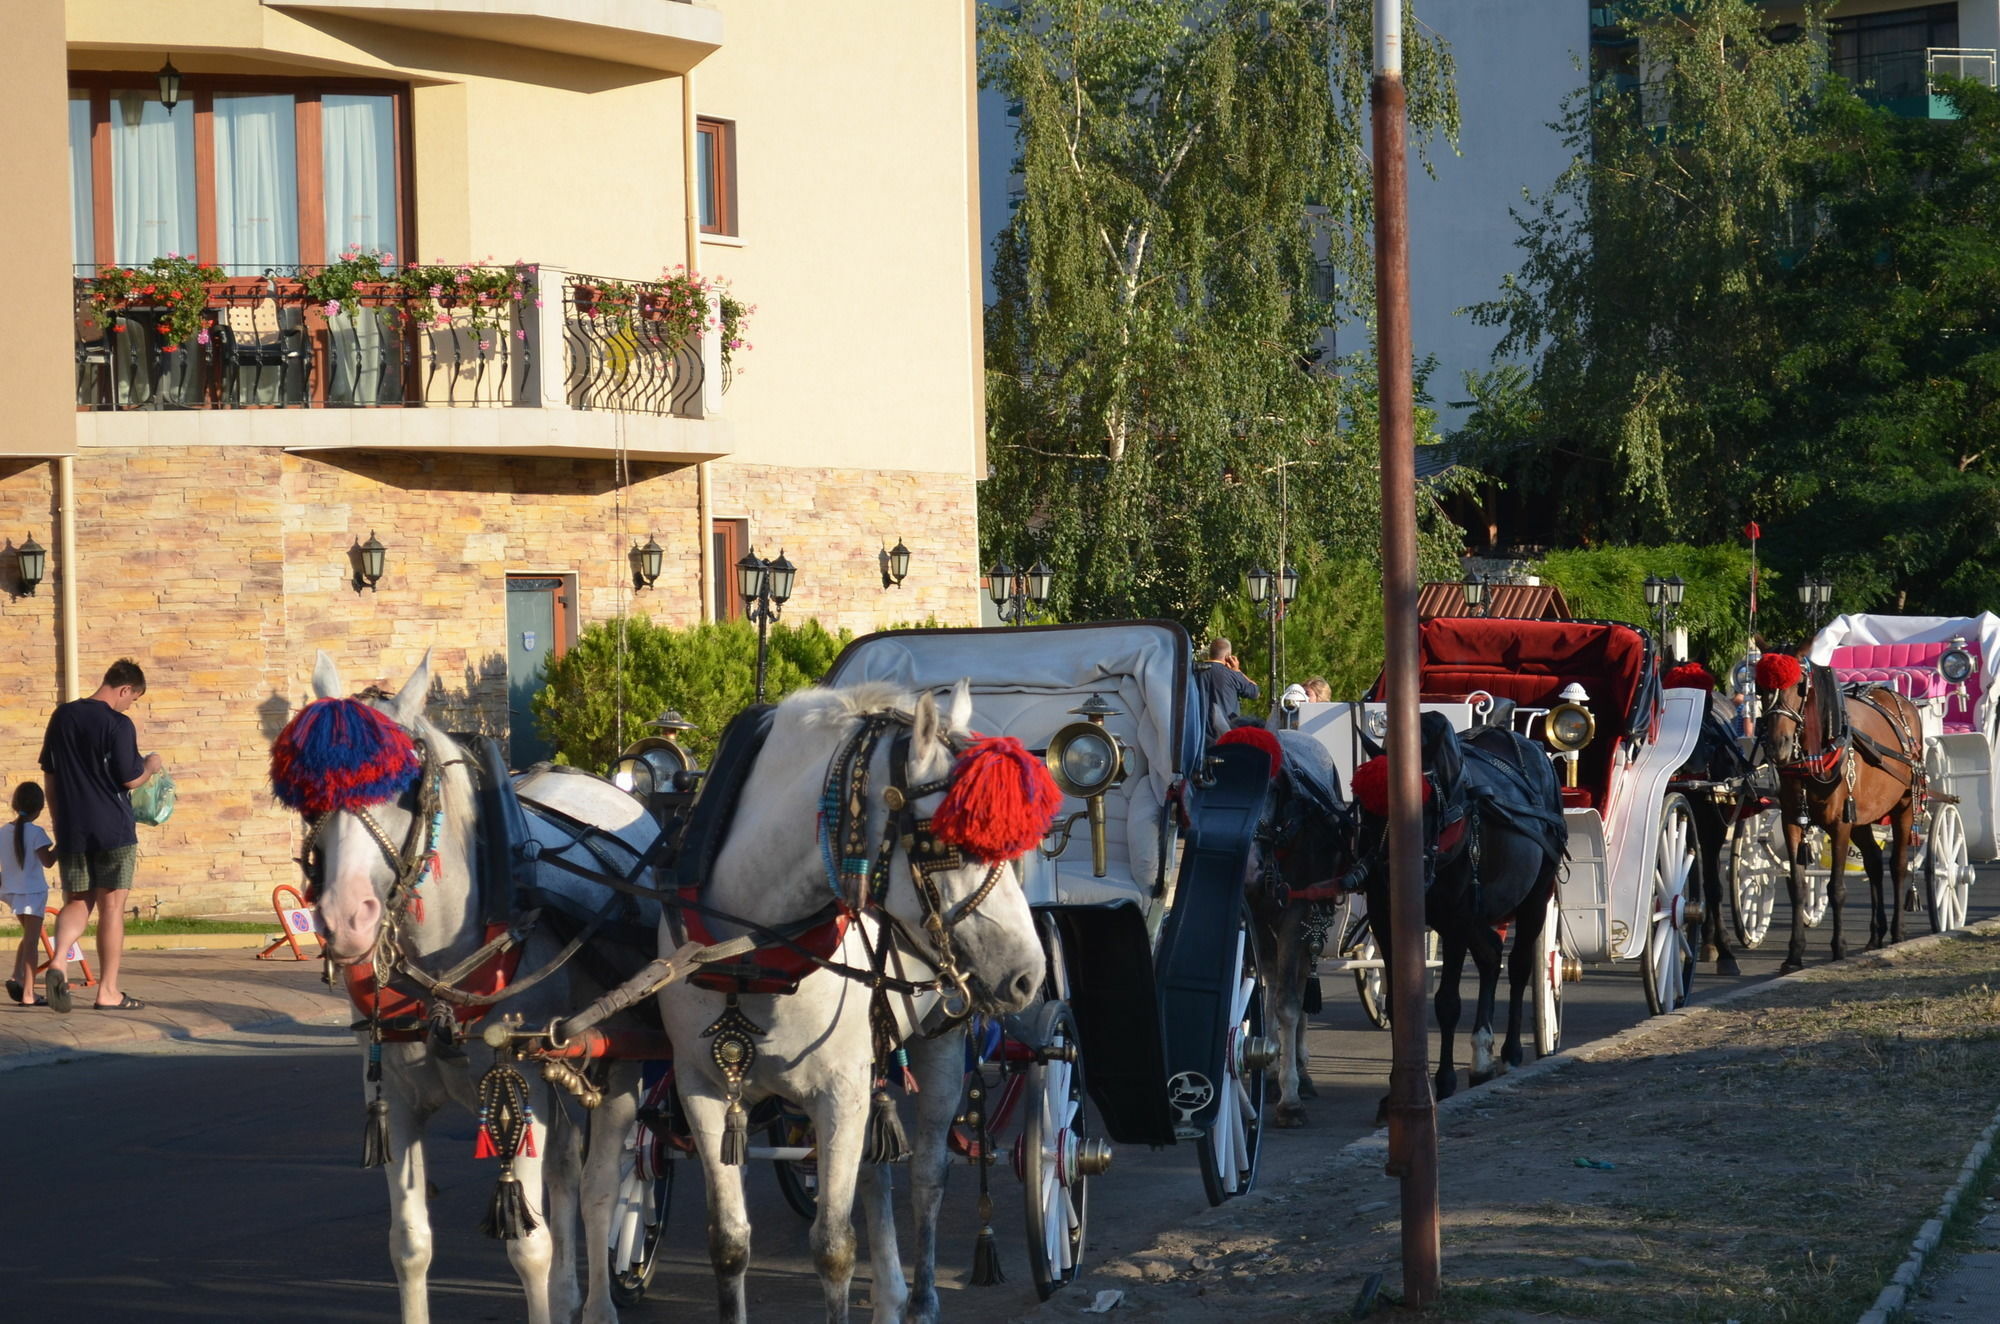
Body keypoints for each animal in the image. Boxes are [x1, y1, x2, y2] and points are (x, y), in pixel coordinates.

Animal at [300, 652, 652, 1324]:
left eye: (403, 786)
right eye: (310, 790)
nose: (344, 918)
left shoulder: (519, 1085)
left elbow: (530, 1247)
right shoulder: (396, 1098)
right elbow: (409, 1243)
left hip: (617, 1060)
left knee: (597, 1187)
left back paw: (598, 1304)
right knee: (567, 1170)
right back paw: (570, 1293)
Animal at [664, 684, 1056, 1324]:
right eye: (946, 841)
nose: (1029, 975)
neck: (752, 953)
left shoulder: (838, 1090)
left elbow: (833, 1248)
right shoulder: (701, 1086)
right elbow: (728, 1242)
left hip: (939, 1043)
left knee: (925, 1175)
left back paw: (920, 1300)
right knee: (876, 1172)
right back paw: (891, 1295)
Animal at [1344, 712, 1560, 1104]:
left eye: (1424, 804)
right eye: (1365, 806)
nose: (1390, 873)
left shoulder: (1456, 920)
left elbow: (1447, 1003)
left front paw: (1443, 1082)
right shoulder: (1385, 918)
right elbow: (1399, 1002)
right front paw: (1395, 1091)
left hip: (1536, 895)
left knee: (1519, 966)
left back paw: (1509, 1053)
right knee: (1491, 954)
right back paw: (1481, 1056)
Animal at [1752, 656, 1920, 976]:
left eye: (1800, 687)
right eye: (1760, 688)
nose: (1778, 745)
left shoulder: (1840, 825)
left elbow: (1837, 888)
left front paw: (1838, 947)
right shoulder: (1792, 821)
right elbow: (1798, 886)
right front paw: (1794, 954)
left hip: (1903, 805)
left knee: (1898, 865)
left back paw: (1897, 932)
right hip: (1862, 817)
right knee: (1874, 862)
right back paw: (1875, 935)